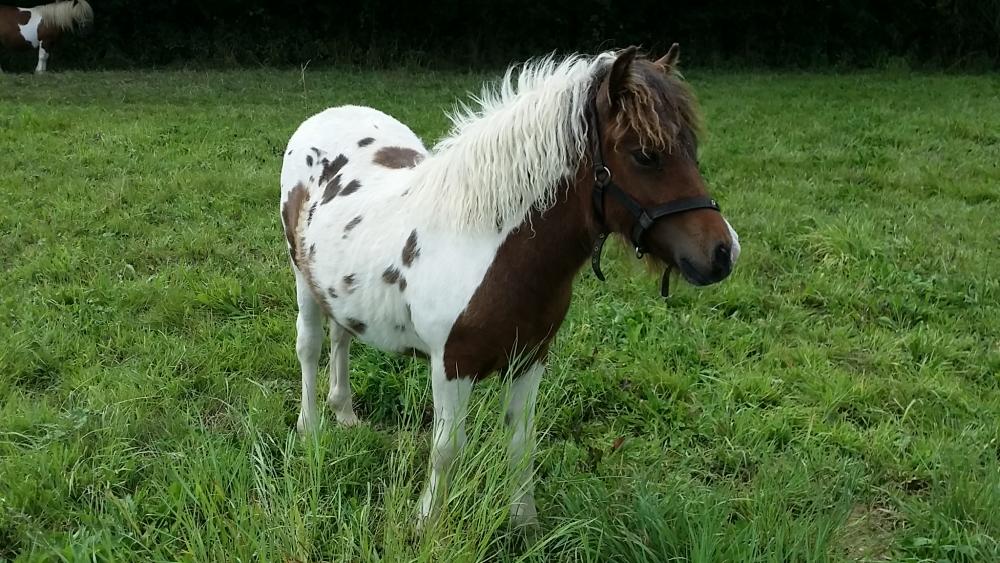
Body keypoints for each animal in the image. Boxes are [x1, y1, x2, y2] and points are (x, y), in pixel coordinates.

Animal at [279, 45, 741, 528]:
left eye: (691, 147)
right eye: (646, 155)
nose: (724, 252)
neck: (487, 246)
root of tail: (328, 115)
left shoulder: (531, 359)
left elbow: (521, 442)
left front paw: (525, 522)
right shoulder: (452, 366)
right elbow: (446, 450)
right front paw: (427, 523)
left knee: (341, 336)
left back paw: (345, 414)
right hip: (301, 278)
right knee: (310, 347)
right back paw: (311, 429)